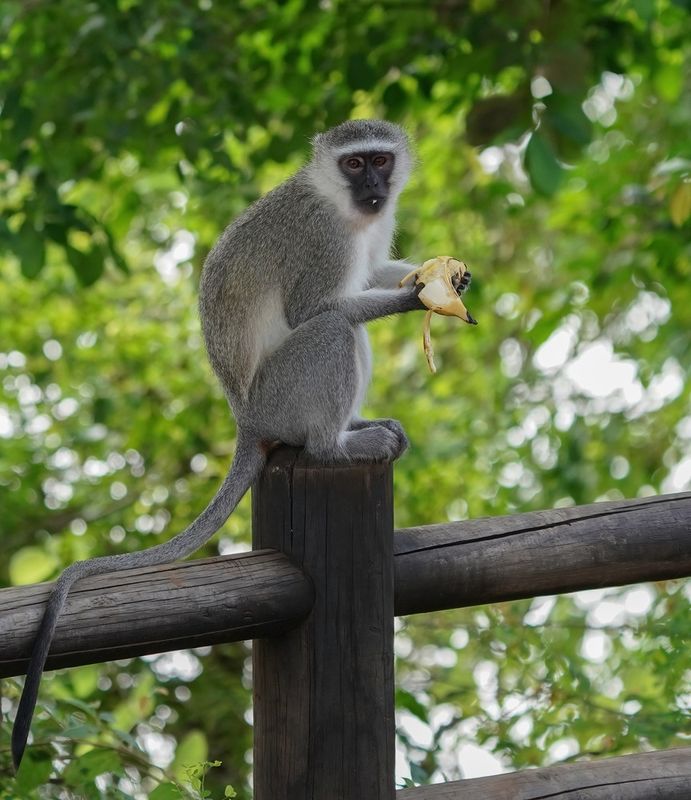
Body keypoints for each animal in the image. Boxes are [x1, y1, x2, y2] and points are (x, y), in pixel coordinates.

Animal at [11, 119, 471, 768]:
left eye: (380, 160)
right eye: (354, 164)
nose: (375, 188)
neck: (342, 206)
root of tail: (247, 419)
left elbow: (374, 271)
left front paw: (442, 274)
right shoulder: (320, 237)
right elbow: (317, 308)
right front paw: (418, 296)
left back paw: (355, 426)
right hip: (281, 395)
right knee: (335, 329)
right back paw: (335, 446)